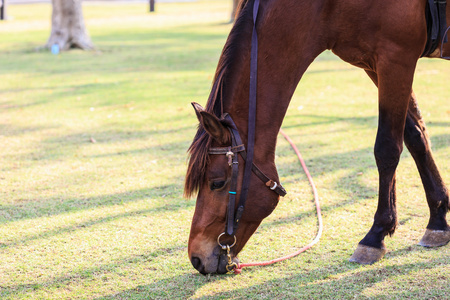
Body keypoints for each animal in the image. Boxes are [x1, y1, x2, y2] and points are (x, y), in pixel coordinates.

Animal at [184, 0, 450, 274]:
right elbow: (415, 136)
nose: (196, 258)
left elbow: (386, 149)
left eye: (217, 183)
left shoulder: (396, 58)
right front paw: (438, 220)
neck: (326, 8)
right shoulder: (376, 64)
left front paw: (376, 235)